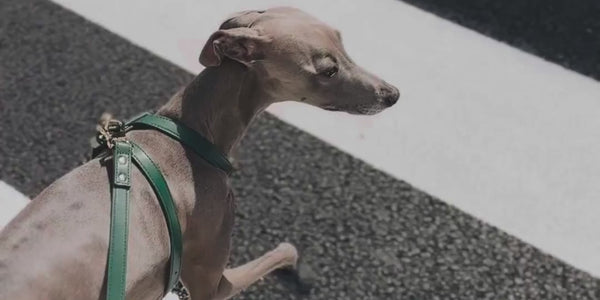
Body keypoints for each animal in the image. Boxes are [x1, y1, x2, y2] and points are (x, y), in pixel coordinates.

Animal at [2, 7, 400, 300]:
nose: (393, 94)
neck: (190, 131)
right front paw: (294, 261)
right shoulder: (213, 282)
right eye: (328, 70)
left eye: (343, 41)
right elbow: (278, 252)